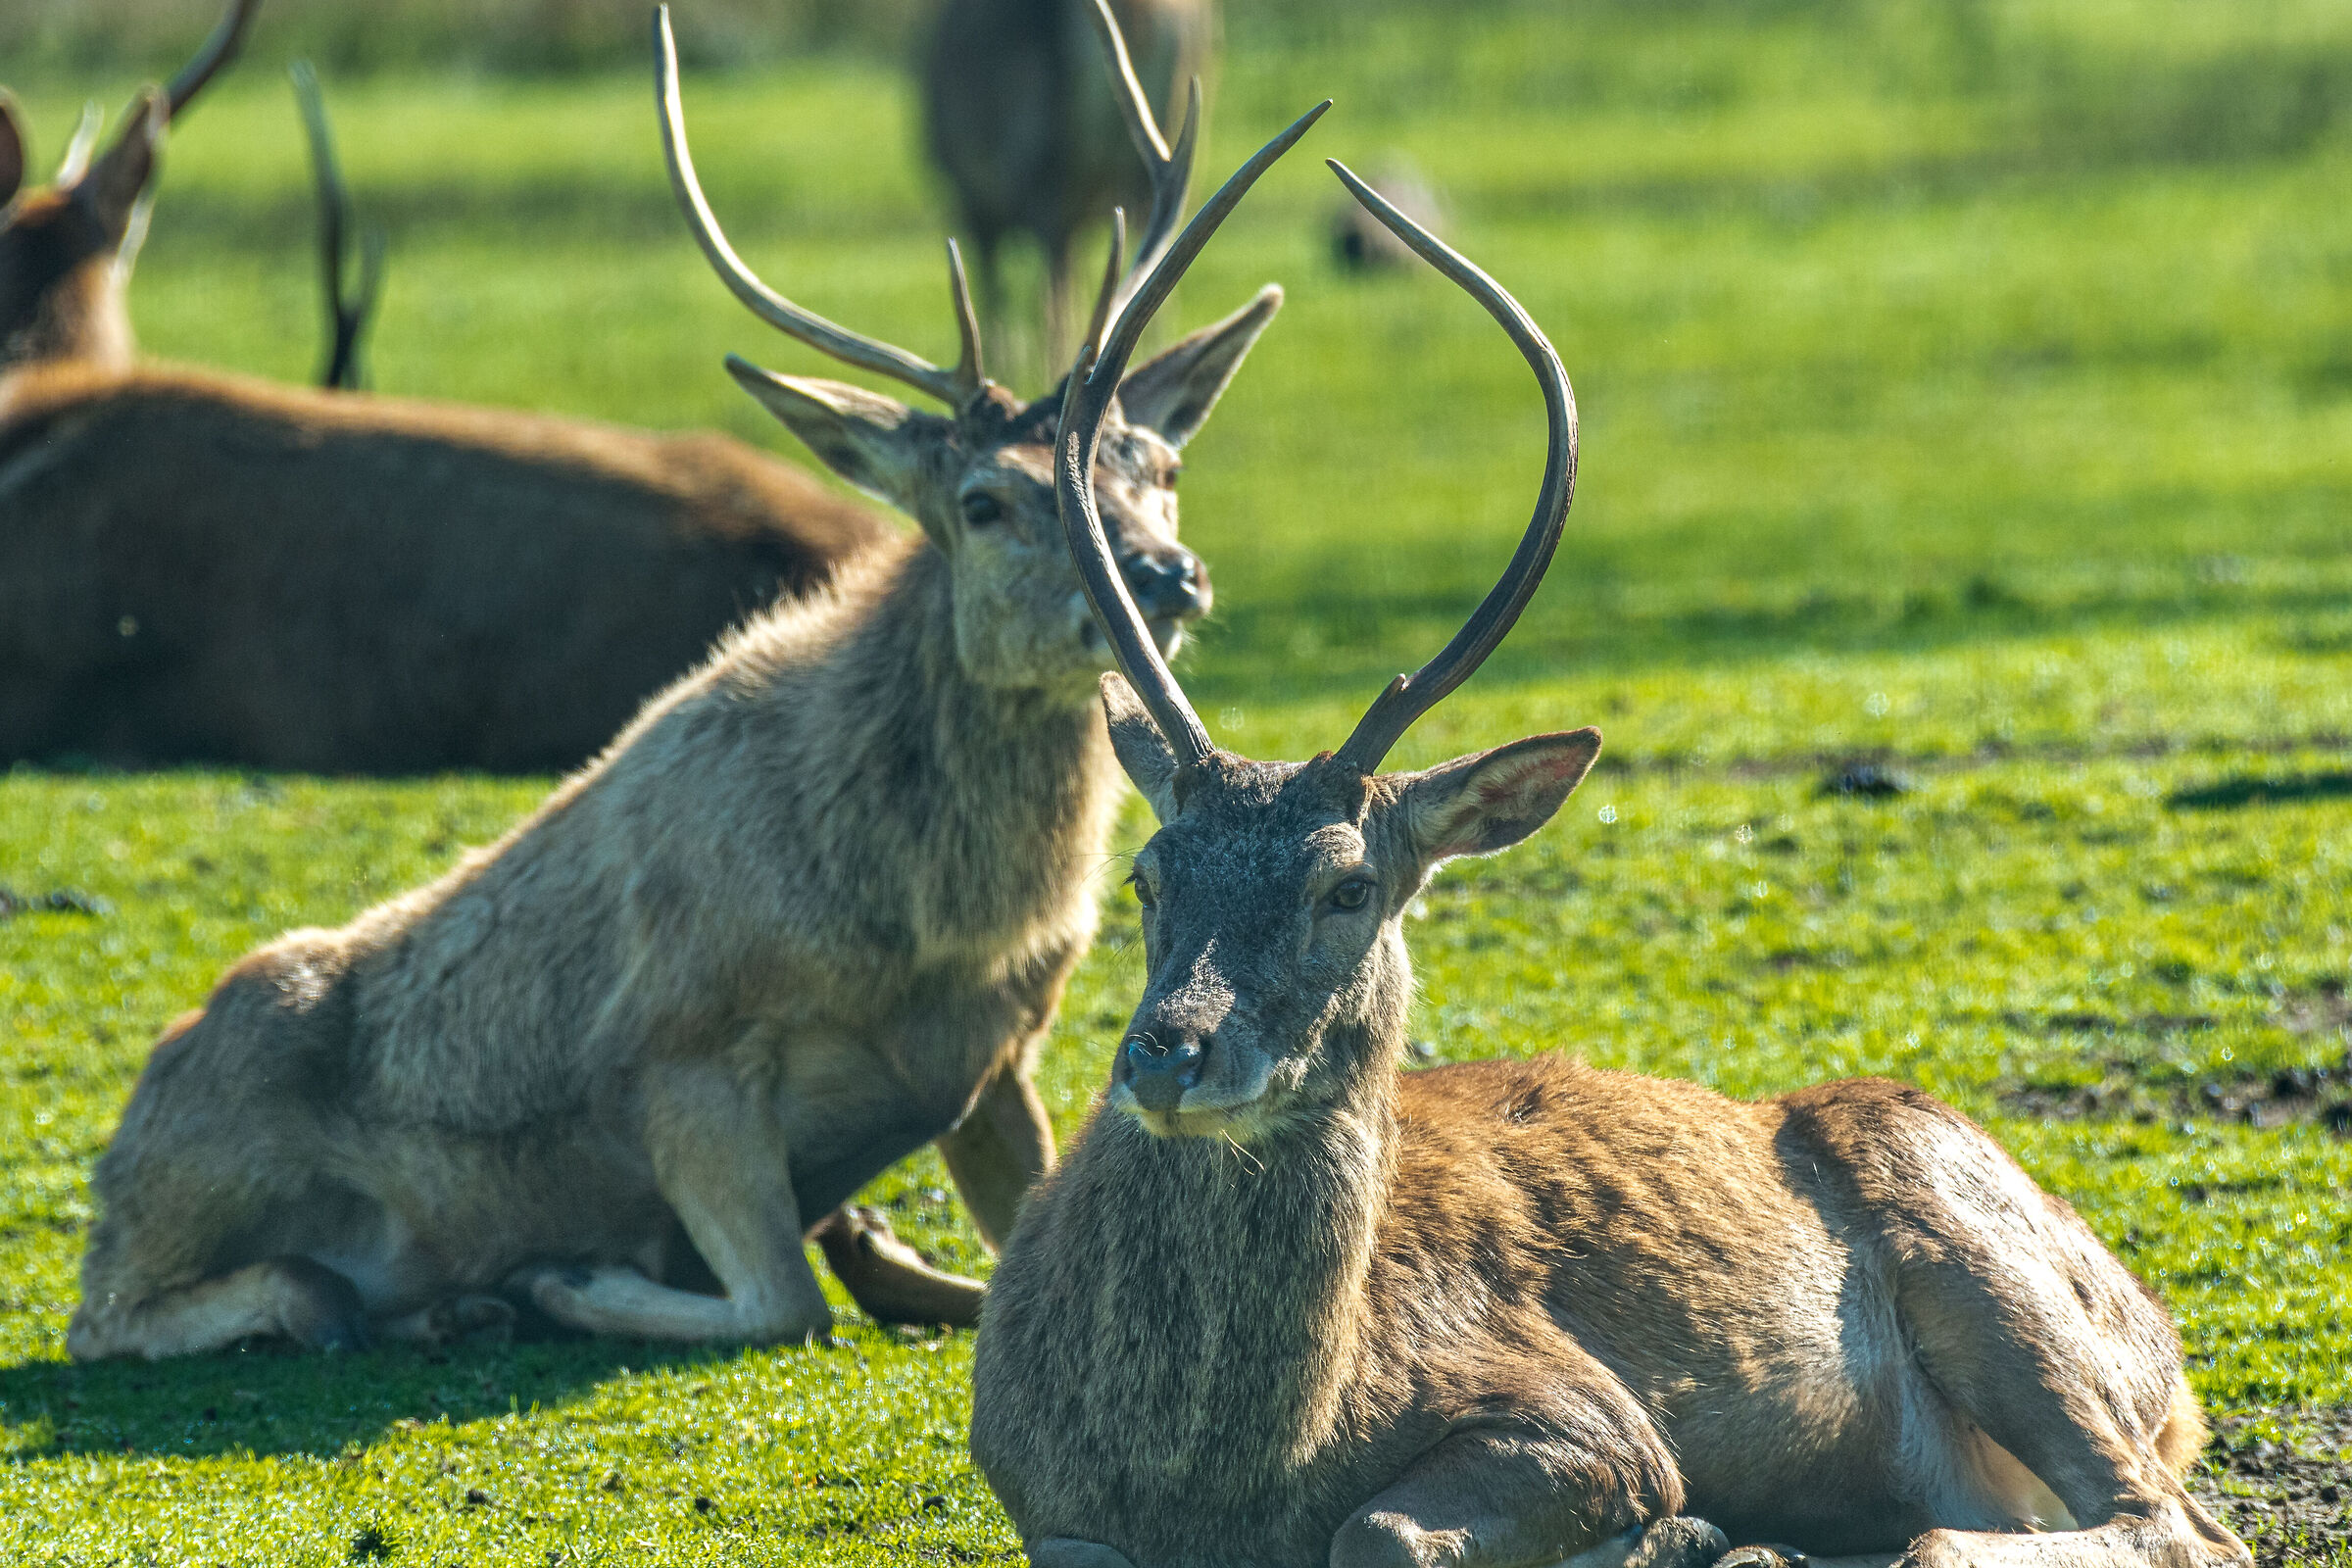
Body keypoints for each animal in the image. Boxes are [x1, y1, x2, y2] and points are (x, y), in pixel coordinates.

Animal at [922, 0, 1211, 362]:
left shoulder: (971, 196)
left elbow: (993, 298)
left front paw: (1005, 361)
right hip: (1160, 147)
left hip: (1045, 165)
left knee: (1053, 303)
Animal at [967, 160, 2253, 1568]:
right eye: (1147, 875)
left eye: (1348, 886)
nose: (1169, 1053)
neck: (1219, 1480)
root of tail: (2165, 1343)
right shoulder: (1034, 1494)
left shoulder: (1583, 1409)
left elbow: (1384, 1529)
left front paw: (1671, 1529)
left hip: (1989, 1271)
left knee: (2167, 1522)